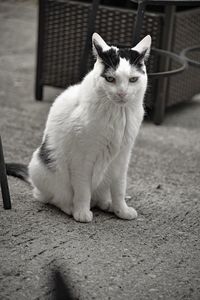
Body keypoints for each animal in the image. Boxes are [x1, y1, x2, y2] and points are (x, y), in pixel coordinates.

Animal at [6, 32, 151, 223]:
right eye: (110, 79)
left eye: (133, 79)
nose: (122, 93)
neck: (118, 115)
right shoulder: (82, 160)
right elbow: (83, 190)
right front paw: (82, 212)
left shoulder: (122, 157)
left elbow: (119, 188)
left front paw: (122, 210)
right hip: (43, 165)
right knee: (51, 197)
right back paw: (71, 207)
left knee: (100, 195)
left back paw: (107, 204)